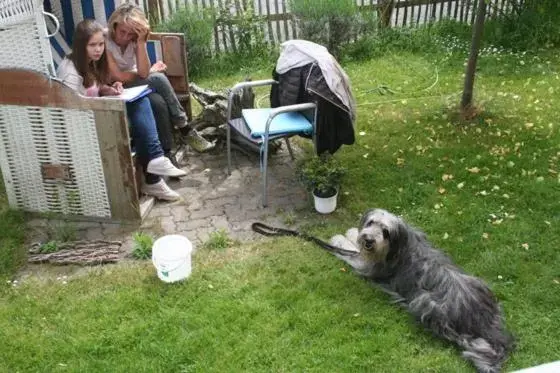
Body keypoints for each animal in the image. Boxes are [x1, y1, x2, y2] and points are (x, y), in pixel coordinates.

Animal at [330, 208, 516, 370]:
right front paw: (354, 233)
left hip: (426, 302)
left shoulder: (367, 266)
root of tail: (483, 320)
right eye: (371, 222)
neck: (401, 245)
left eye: (385, 232)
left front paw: (339, 238)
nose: (368, 240)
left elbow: (349, 250)